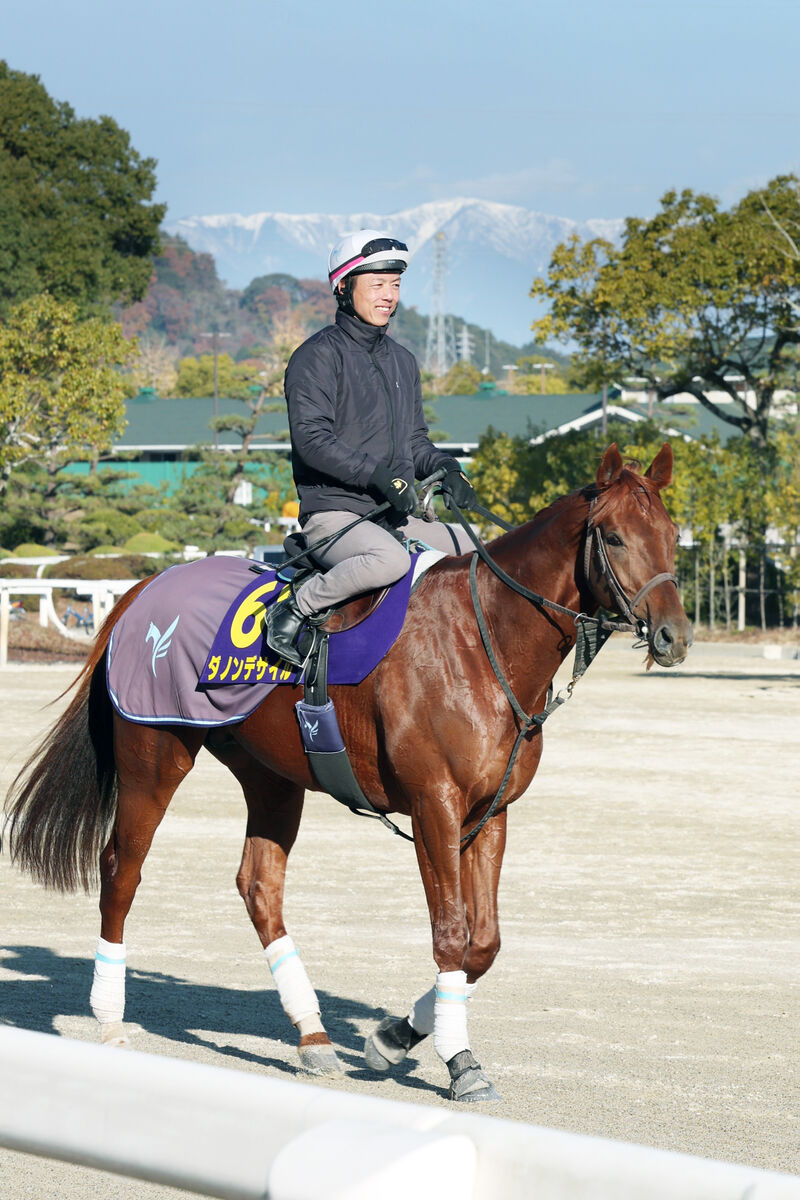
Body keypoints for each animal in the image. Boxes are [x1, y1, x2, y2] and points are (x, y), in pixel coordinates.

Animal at [6, 441, 690, 1099]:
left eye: (672, 534)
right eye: (615, 536)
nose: (674, 636)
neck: (481, 638)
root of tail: (143, 590)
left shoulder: (489, 812)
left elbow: (483, 944)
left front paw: (394, 1035)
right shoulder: (434, 806)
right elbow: (451, 934)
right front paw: (458, 1060)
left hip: (272, 777)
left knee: (259, 886)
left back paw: (312, 1036)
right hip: (155, 759)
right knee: (121, 870)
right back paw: (110, 1019)